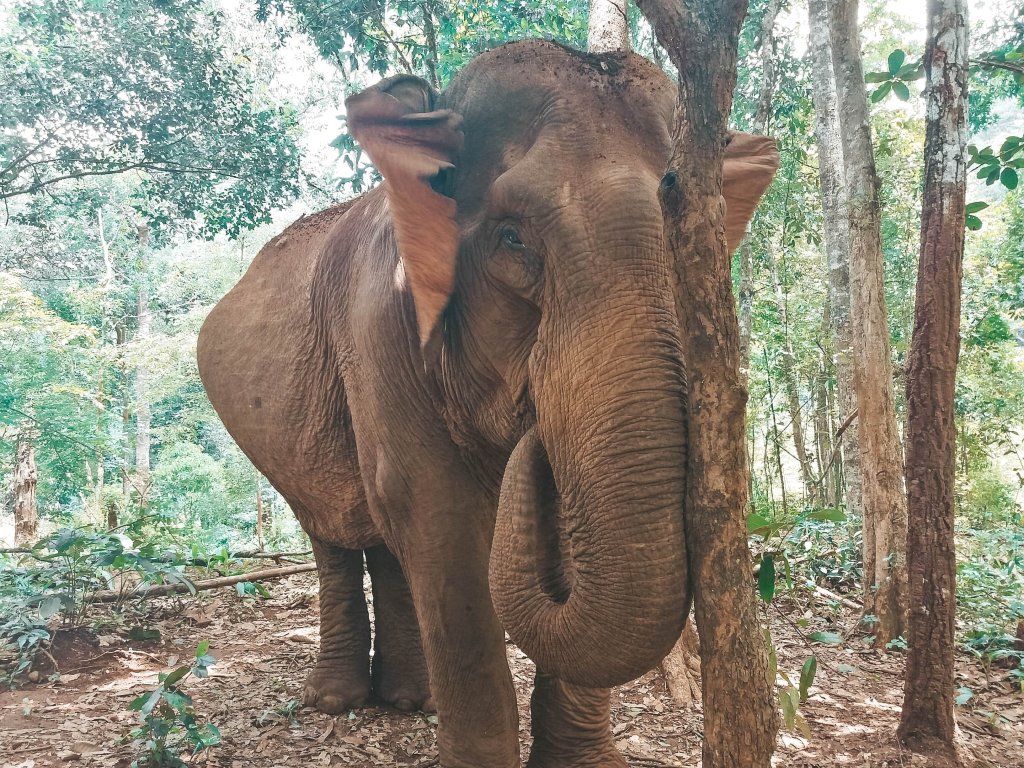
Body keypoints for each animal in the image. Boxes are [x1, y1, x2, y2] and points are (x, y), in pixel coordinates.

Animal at [197, 37, 774, 768]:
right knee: (335, 529)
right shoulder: (379, 329)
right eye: (513, 238)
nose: (534, 439)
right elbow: (438, 518)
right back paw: (337, 700)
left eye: (698, 239)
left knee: (382, 534)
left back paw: (411, 699)